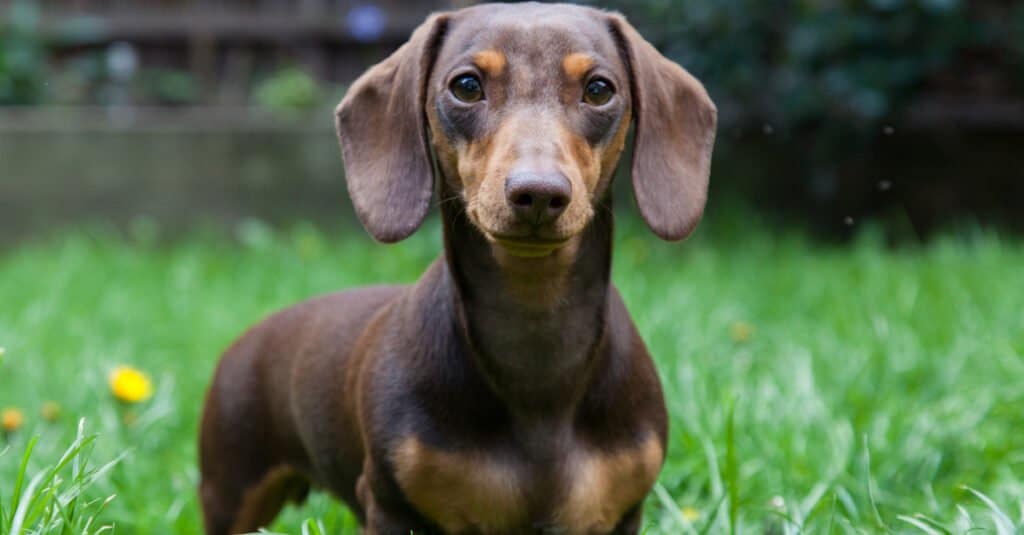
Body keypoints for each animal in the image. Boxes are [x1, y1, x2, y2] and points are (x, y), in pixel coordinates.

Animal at [195, 2, 716, 528]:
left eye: (599, 89)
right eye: (466, 85)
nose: (538, 193)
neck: (537, 355)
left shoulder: (623, 512)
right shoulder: (391, 504)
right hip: (230, 490)